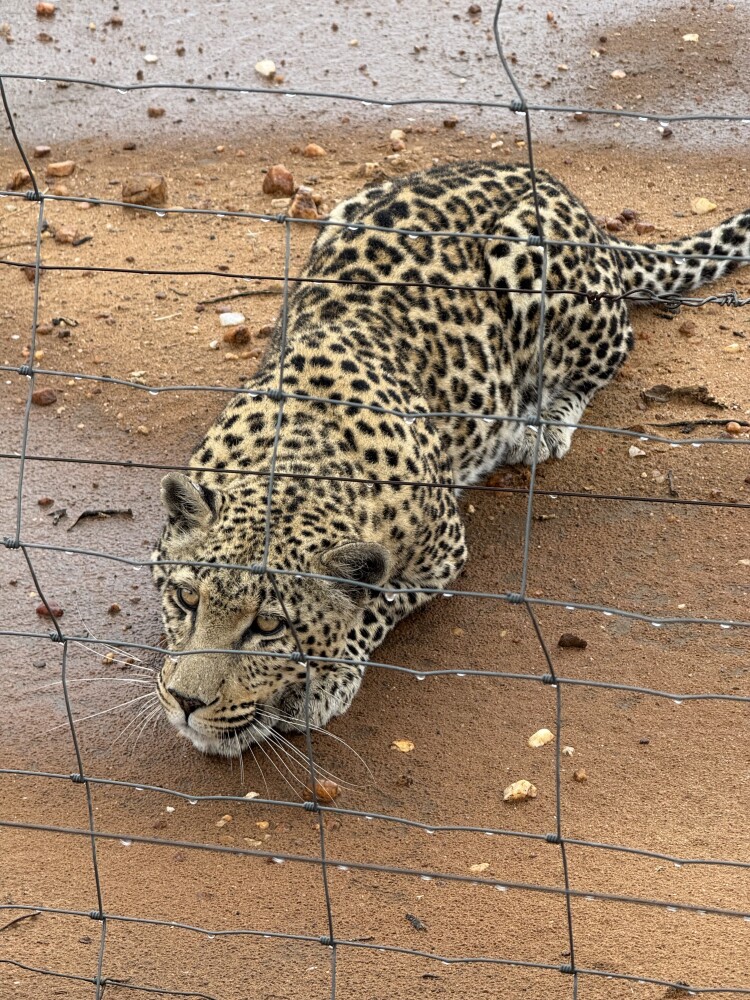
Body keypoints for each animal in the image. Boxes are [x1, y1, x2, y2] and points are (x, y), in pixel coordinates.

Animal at [151, 160, 750, 757]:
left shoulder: (442, 555)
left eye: (270, 628)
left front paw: (317, 683)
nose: (185, 701)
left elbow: (373, 607)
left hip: (541, 277)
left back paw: (542, 424)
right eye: (185, 598)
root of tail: (565, 196)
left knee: (612, 351)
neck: (297, 460)